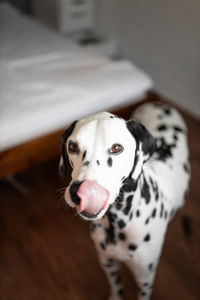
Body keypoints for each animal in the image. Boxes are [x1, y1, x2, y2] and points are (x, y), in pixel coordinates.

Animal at [59, 102, 189, 298]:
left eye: (116, 148)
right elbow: (116, 287)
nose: (78, 191)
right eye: (72, 146)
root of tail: (157, 102)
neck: (118, 221)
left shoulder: (144, 278)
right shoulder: (108, 263)